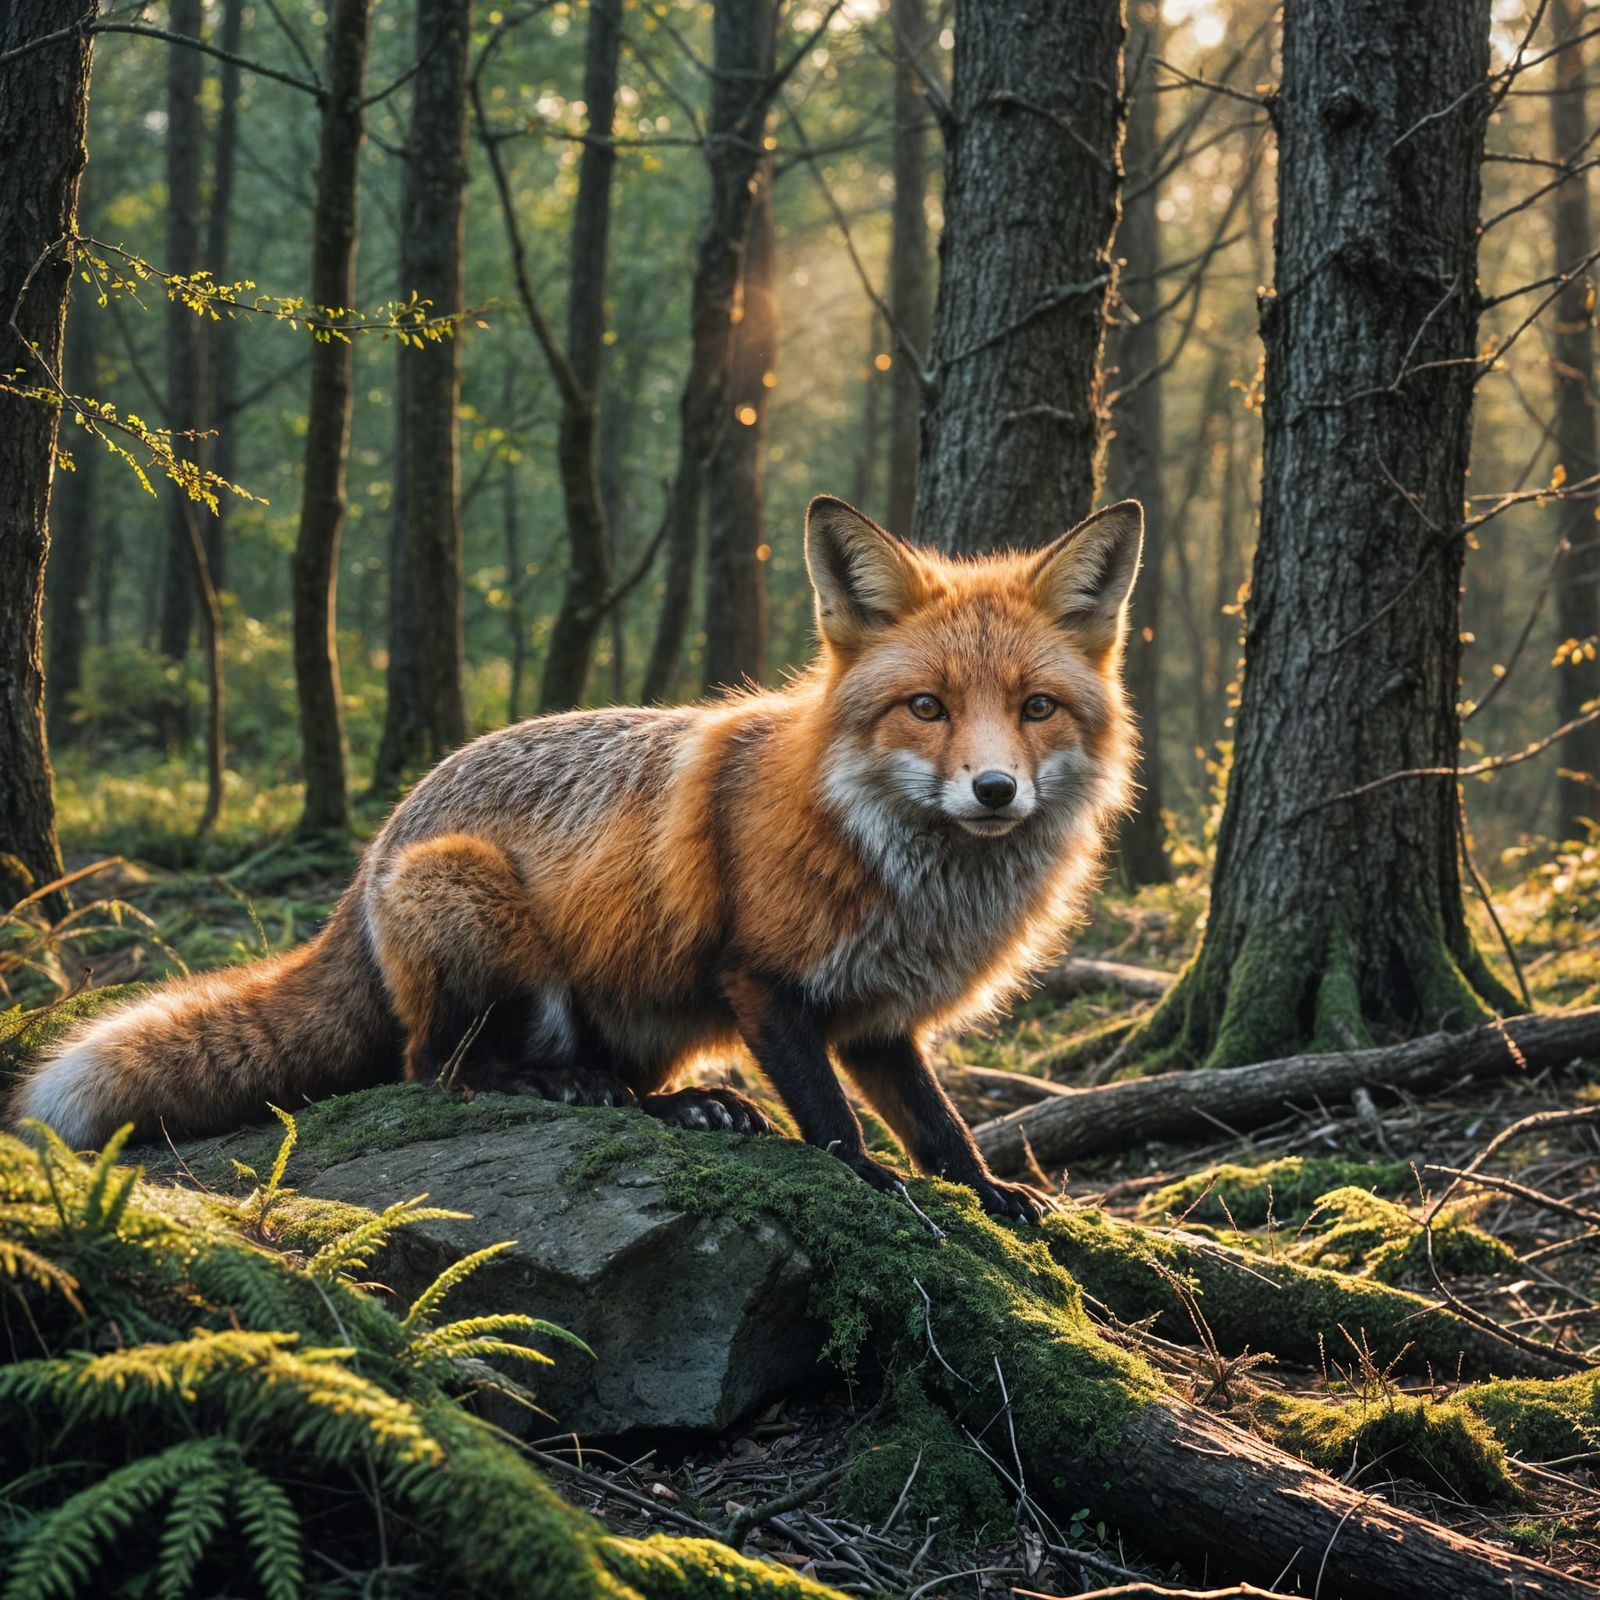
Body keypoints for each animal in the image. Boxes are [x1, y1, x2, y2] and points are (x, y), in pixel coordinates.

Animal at [14, 495, 1141, 1222]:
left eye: (1036, 708)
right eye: (927, 707)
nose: (993, 791)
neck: (910, 878)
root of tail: (373, 856)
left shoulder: (877, 1020)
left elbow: (937, 1122)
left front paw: (988, 1192)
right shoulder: (762, 982)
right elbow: (831, 1119)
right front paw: (866, 1183)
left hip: (641, 1014)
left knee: (601, 1077)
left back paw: (685, 1106)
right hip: (477, 908)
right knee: (436, 1070)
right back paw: (563, 1091)